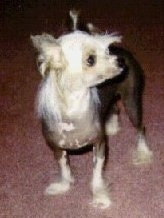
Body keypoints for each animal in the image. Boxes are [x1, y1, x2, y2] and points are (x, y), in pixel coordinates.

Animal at [30, 9, 152, 208]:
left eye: (106, 50)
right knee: (114, 109)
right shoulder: (57, 148)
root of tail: (123, 51)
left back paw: (143, 153)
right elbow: (64, 170)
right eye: (90, 60)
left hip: (132, 102)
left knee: (140, 127)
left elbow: (96, 176)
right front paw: (63, 186)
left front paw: (100, 198)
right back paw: (111, 127)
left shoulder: (100, 146)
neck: (74, 110)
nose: (120, 61)